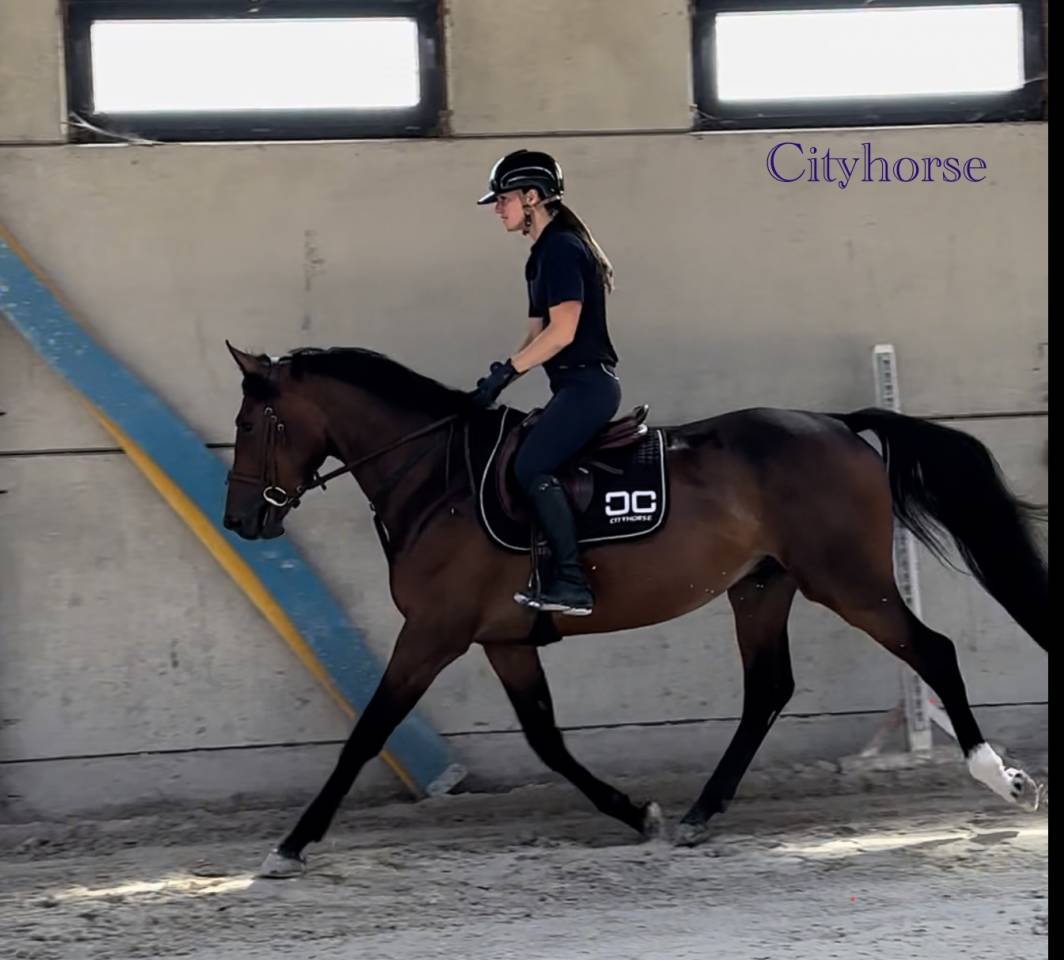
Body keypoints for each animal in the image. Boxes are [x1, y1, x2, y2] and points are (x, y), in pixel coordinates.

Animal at [222, 343, 1047, 878]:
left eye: (251, 425)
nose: (240, 520)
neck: (437, 479)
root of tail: (840, 423)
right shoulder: (503, 640)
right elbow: (546, 740)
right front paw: (636, 813)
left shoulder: (433, 633)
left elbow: (366, 736)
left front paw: (290, 846)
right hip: (763, 587)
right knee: (767, 690)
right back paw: (698, 816)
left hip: (847, 581)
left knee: (932, 651)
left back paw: (1002, 779)